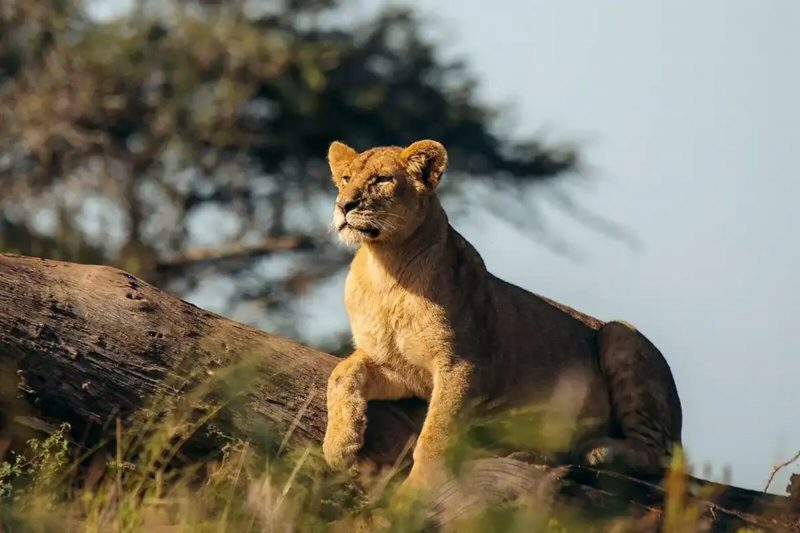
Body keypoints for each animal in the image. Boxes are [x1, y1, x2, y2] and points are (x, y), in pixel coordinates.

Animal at [322, 139, 682, 488]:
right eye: (346, 178)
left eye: (383, 179)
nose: (344, 206)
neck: (386, 270)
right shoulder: (398, 366)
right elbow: (341, 374)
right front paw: (339, 446)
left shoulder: (462, 365)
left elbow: (436, 432)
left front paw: (418, 488)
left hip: (620, 334)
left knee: (661, 458)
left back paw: (597, 450)